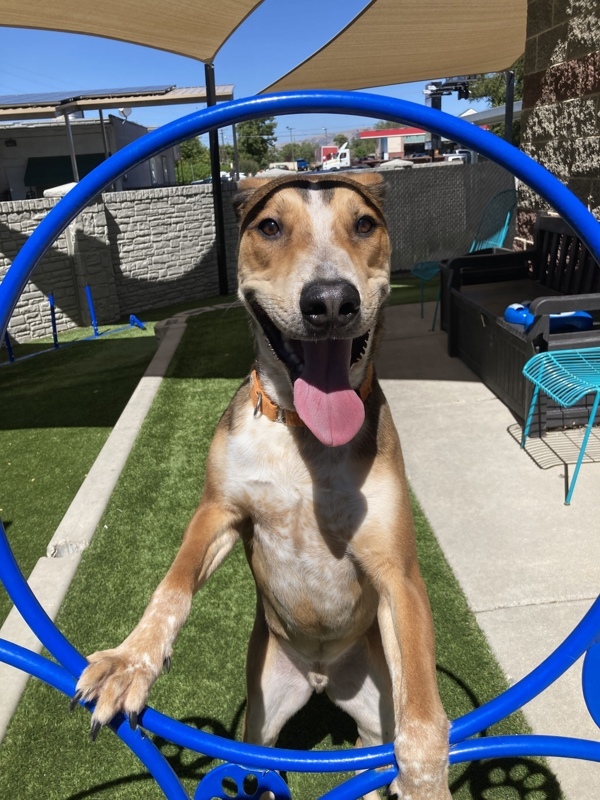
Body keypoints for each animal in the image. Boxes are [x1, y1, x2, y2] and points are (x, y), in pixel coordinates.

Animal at [75, 172, 450, 796]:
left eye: (364, 224)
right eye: (270, 226)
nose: (331, 301)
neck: (301, 438)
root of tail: (322, 678)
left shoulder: (399, 573)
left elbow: (423, 711)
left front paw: (426, 777)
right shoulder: (218, 512)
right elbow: (173, 586)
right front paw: (131, 661)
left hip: (373, 712)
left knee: (375, 755)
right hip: (263, 716)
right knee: (258, 762)